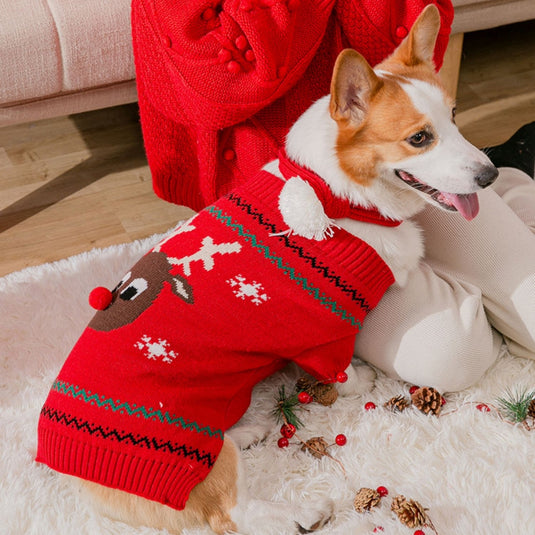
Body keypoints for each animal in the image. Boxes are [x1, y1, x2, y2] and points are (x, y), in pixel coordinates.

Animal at [56, 5, 496, 535]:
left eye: (454, 116)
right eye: (419, 138)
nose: (491, 175)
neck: (335, 195)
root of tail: (71, 471)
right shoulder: (326, 330)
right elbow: (339, 372)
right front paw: (360, 382)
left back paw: (246, 432)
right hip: (185, 451)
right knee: (231, 513)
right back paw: (304, 511)